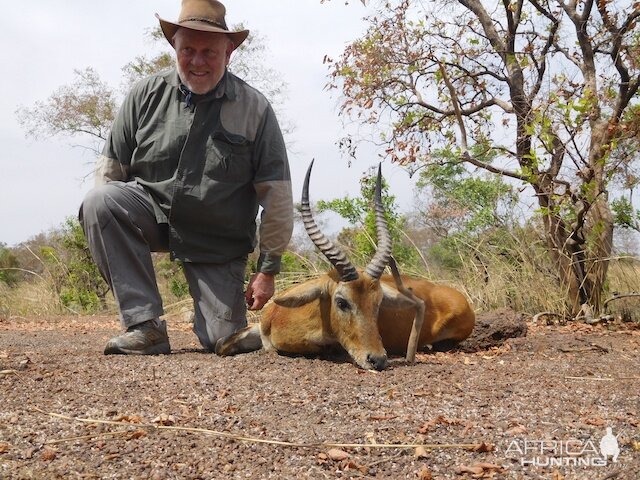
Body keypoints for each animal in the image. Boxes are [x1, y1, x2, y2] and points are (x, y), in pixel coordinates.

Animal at [216, 162, 476, 372]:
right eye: (342, 302)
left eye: (379, 303)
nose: (378, 360)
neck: (284, 318)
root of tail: (460, 299)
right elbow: (221, 344)